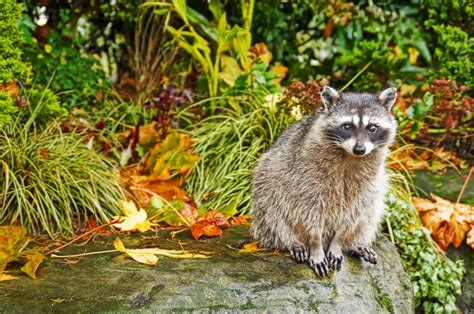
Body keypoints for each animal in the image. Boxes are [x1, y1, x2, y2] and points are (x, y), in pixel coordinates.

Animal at [250, 86, 398, 274]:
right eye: (347, 126)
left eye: (372, 128)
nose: (359, 149)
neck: (349, 155)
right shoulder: (305, 175)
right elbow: (309, 211)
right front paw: (316, 246)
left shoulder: (368, 180)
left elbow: (354, 212)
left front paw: (339, 243)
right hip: (267, 179)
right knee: (272, 211)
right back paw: (291, 240)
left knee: (371, 211)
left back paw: (356, 243)